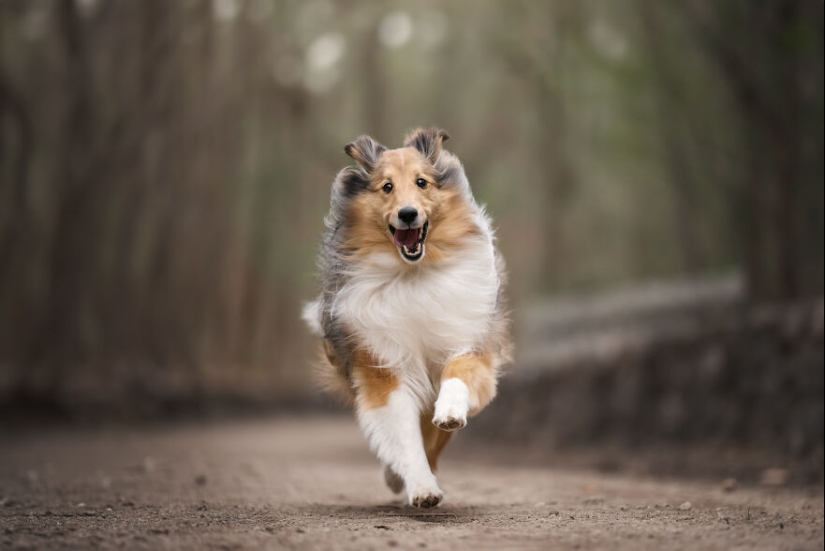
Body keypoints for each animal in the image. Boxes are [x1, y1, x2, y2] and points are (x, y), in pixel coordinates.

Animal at [302, 128, 508, 508]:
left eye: (421, 182)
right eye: (387, 187)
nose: (408, 213)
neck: (413, 274)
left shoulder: (468, 341)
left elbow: (458, 375)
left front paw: (450, 412)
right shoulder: (383, 366)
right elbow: (404, 436)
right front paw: (422, 487)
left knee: (434, 438)